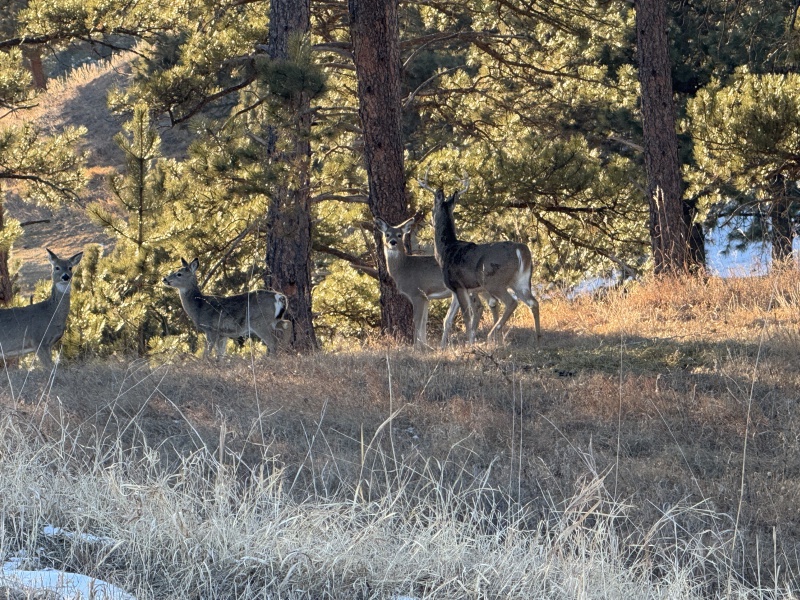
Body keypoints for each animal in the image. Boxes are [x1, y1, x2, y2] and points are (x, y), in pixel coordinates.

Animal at [375, 216, 499, 349]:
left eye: (399, 234)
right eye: (387, 234)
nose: (392, 242)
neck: (404, 268)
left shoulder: (417, 293)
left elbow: (417, 320)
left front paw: (417, 347)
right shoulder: (426, 297)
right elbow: (424, 320)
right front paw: (425, 345)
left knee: (480, 306)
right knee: (492, 303)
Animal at [420, 175, 541, 345]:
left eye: (432, 209)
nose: (429, 219)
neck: (445, 251)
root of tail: (520, 249)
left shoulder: (458, 285)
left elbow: (467, 315)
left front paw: (469, 342)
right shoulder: (461, 288)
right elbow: (449, 318)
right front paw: (456, 342)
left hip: (493, 281)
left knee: (511, 302)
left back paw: (492, 334)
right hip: (521, 281)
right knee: (533, 302)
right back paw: (537, 337)